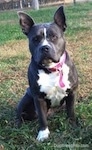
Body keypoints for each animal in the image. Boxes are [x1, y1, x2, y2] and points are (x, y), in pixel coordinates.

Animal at [16, 6, 78, 142]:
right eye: (35, 39)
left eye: (54, 37)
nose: (44, 48)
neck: (51, 69)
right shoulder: (38, 98)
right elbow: (42, 118)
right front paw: (43, 134)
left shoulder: (71, 93)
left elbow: (71, 111)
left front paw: (73, 125)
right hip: (25, 99)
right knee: (19, 114)